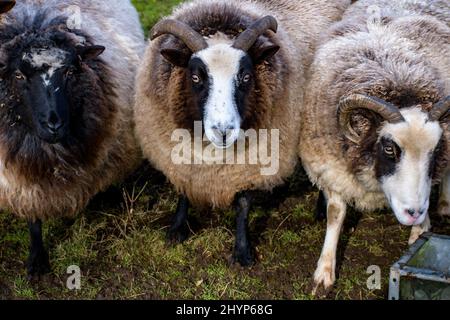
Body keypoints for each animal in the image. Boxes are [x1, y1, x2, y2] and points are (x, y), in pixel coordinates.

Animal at [0, 0, 144, 276]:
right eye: (19, 75)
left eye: (69, 73)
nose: (54, 123)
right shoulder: (22, 176)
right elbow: (34, 217)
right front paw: (37, 260)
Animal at [134, 0, 352, 264]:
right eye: (195, 77)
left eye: (246, 77)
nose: (223, 131)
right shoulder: (178, 155)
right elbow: (183, 189)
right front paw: (177, 229)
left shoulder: (251, 162)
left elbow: (244, 203)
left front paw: (242, 251)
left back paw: (321, 207)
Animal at [298, 0, 450, 294]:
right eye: (390, 149)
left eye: (436, 150)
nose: (413, 214)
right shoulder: (332, 169)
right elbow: (336, 214)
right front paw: (324, 273)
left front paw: (420, 232)